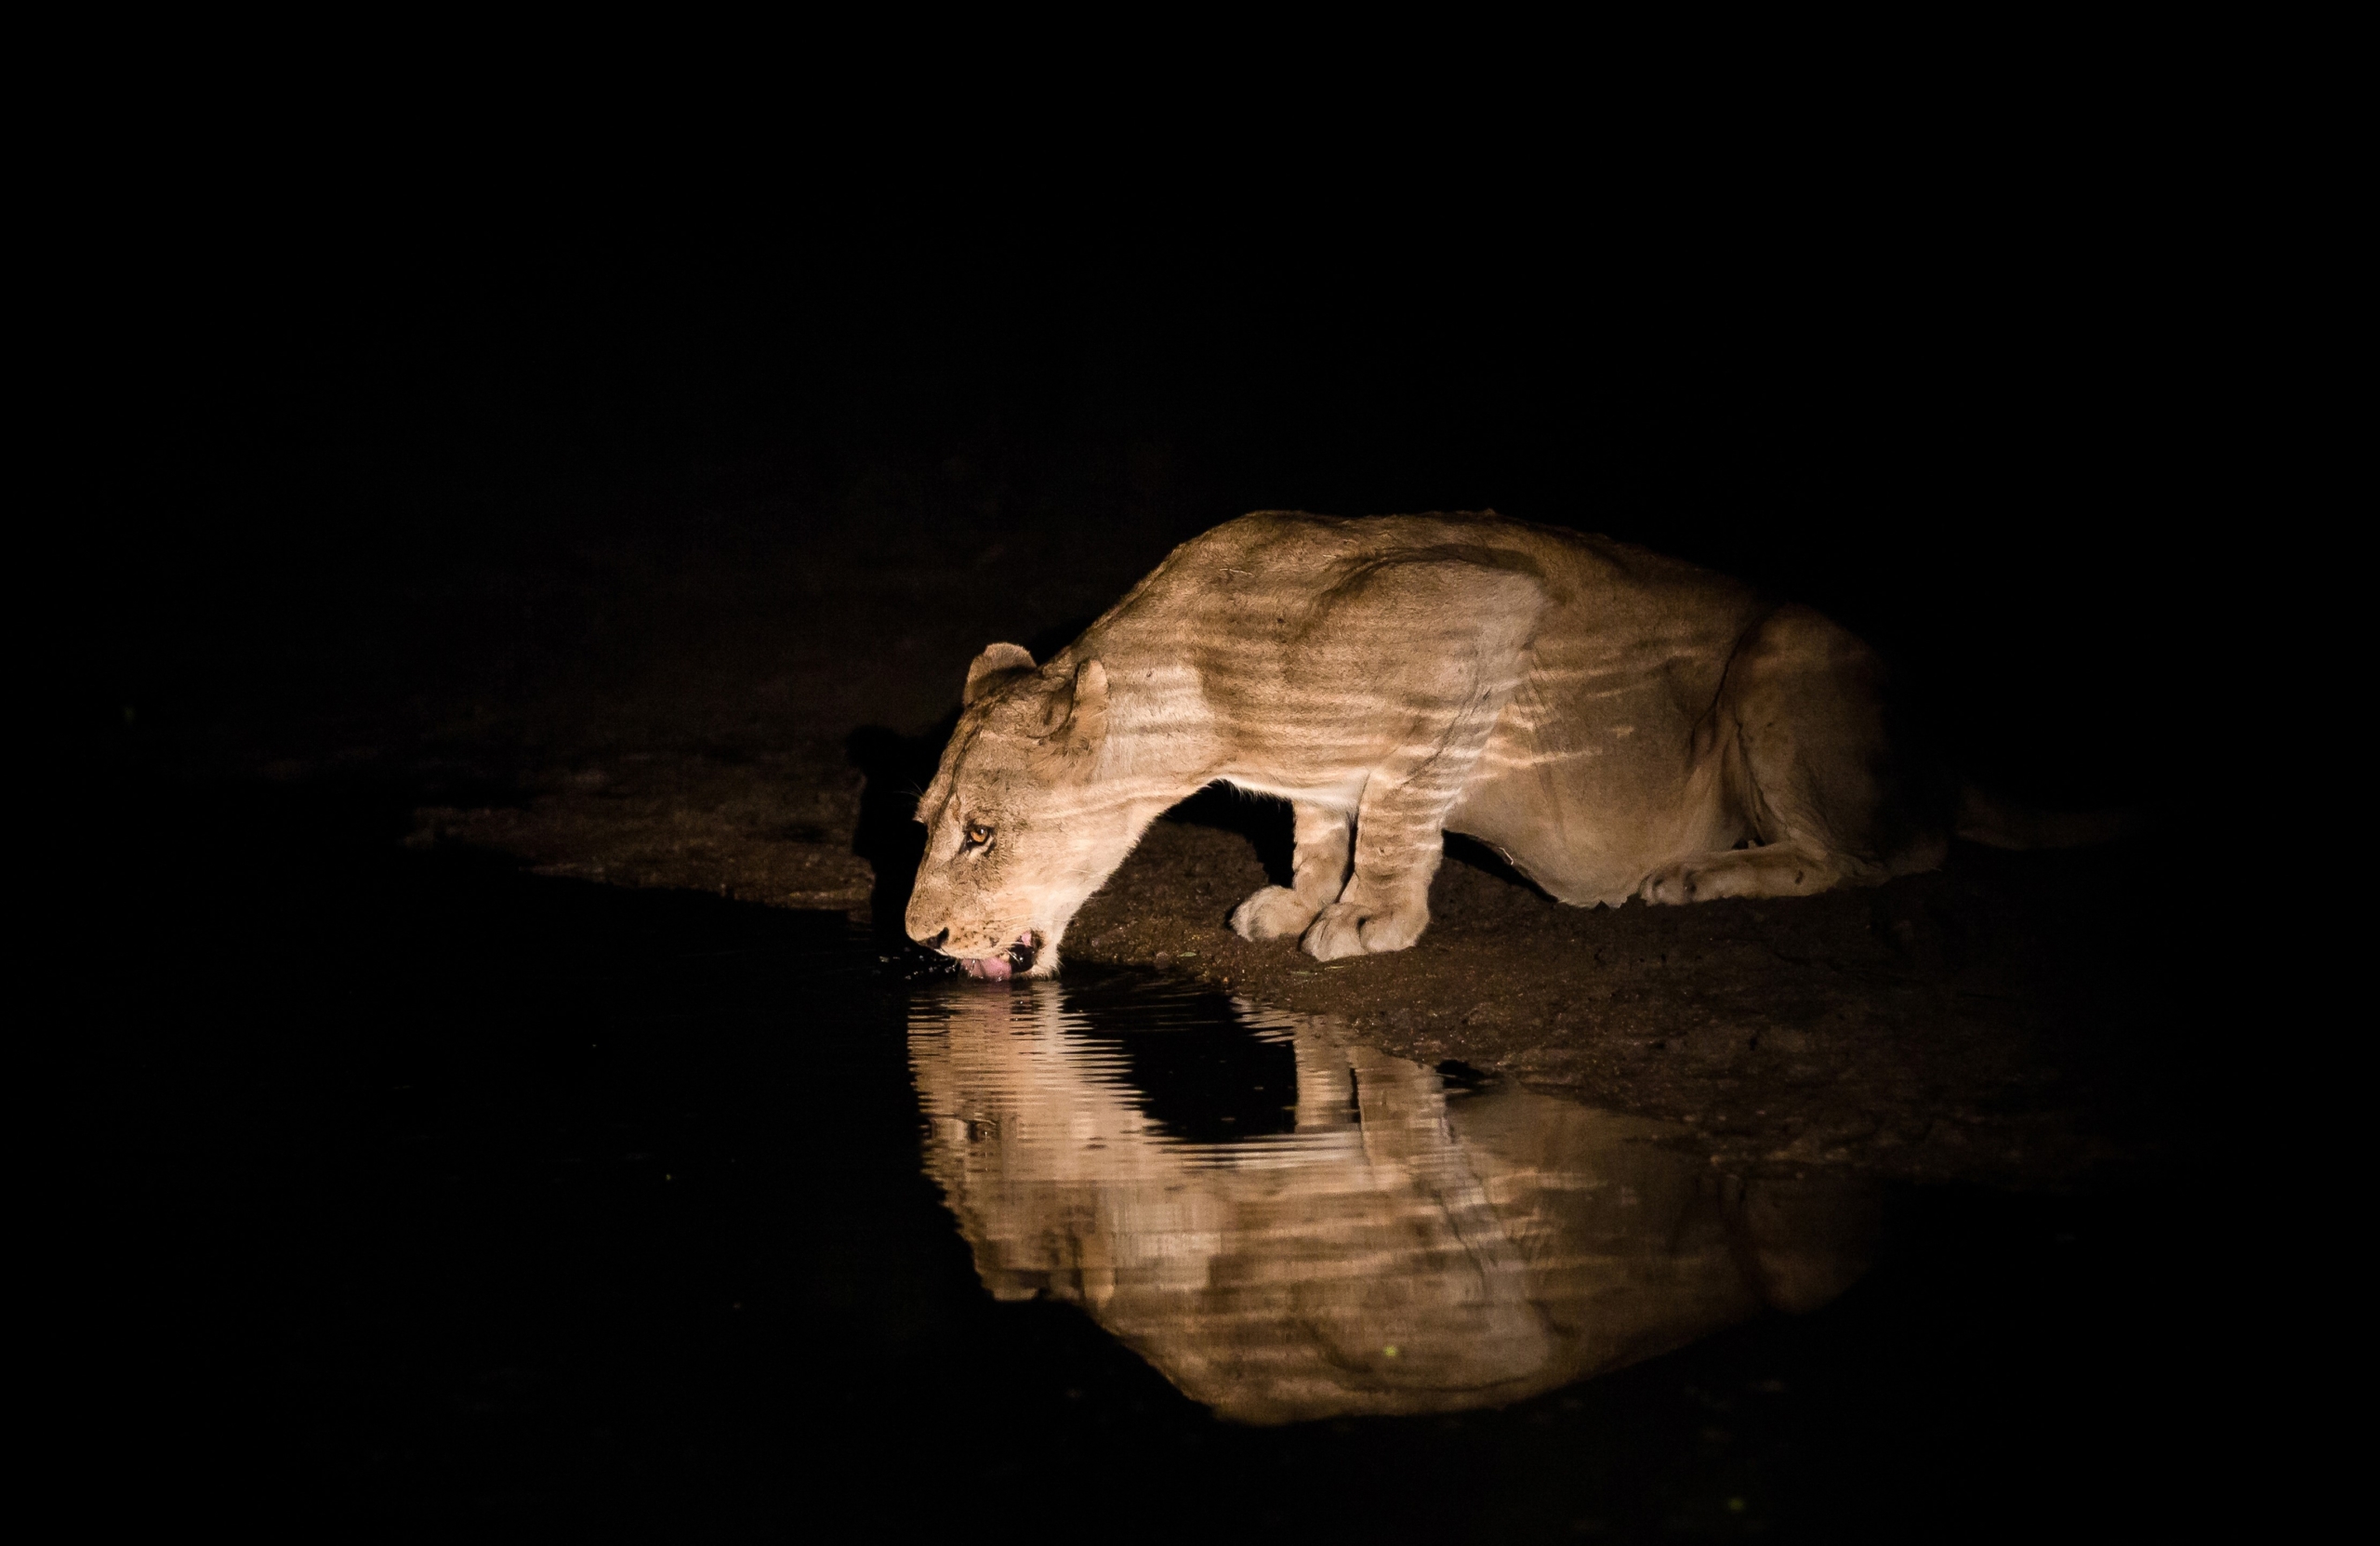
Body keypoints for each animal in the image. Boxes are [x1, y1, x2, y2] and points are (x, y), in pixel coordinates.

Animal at [906, 510, 1961, 979]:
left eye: (981, 834)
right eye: (926, 823)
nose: (919, 938)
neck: (1210, 703)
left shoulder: (1482, 611)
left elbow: (1397, 809)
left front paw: (1370, 914)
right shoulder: (1312, 767)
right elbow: (1319, 825)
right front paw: (1299, 900)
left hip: (1778, 660)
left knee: (1883, 854)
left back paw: (1703, 873)